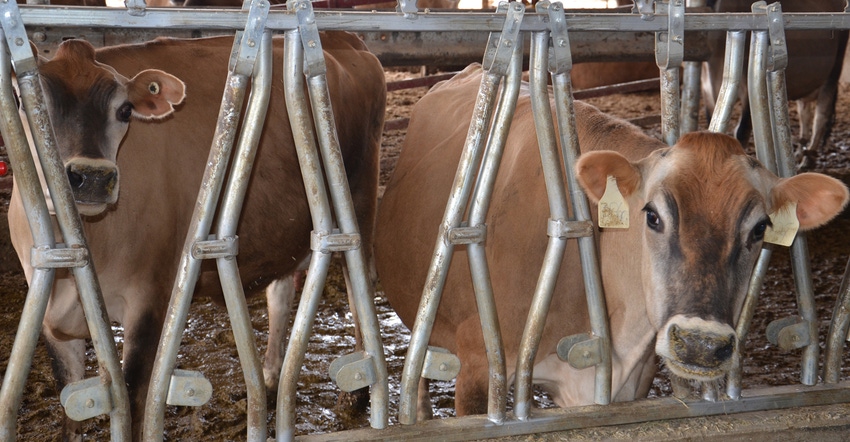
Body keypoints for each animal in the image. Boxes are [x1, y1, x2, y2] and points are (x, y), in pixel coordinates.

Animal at [5, 32, 384, 440]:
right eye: (27, 102)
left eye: (125, 111)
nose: (91, 176)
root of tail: (347, 39)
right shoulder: (52, 315)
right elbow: (69, 407)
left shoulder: (149, 300)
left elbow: (132, 400)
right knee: (281, 294)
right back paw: (268, 381)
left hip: (358, 202)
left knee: (357, 283)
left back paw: (355, 395)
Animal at [700, 0, 844, 168]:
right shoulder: (708, 93)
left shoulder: (748, 92)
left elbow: (741, 131)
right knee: (804, 112)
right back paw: (800, 151)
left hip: (834, 71)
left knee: (821, 116)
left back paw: (808, 160)